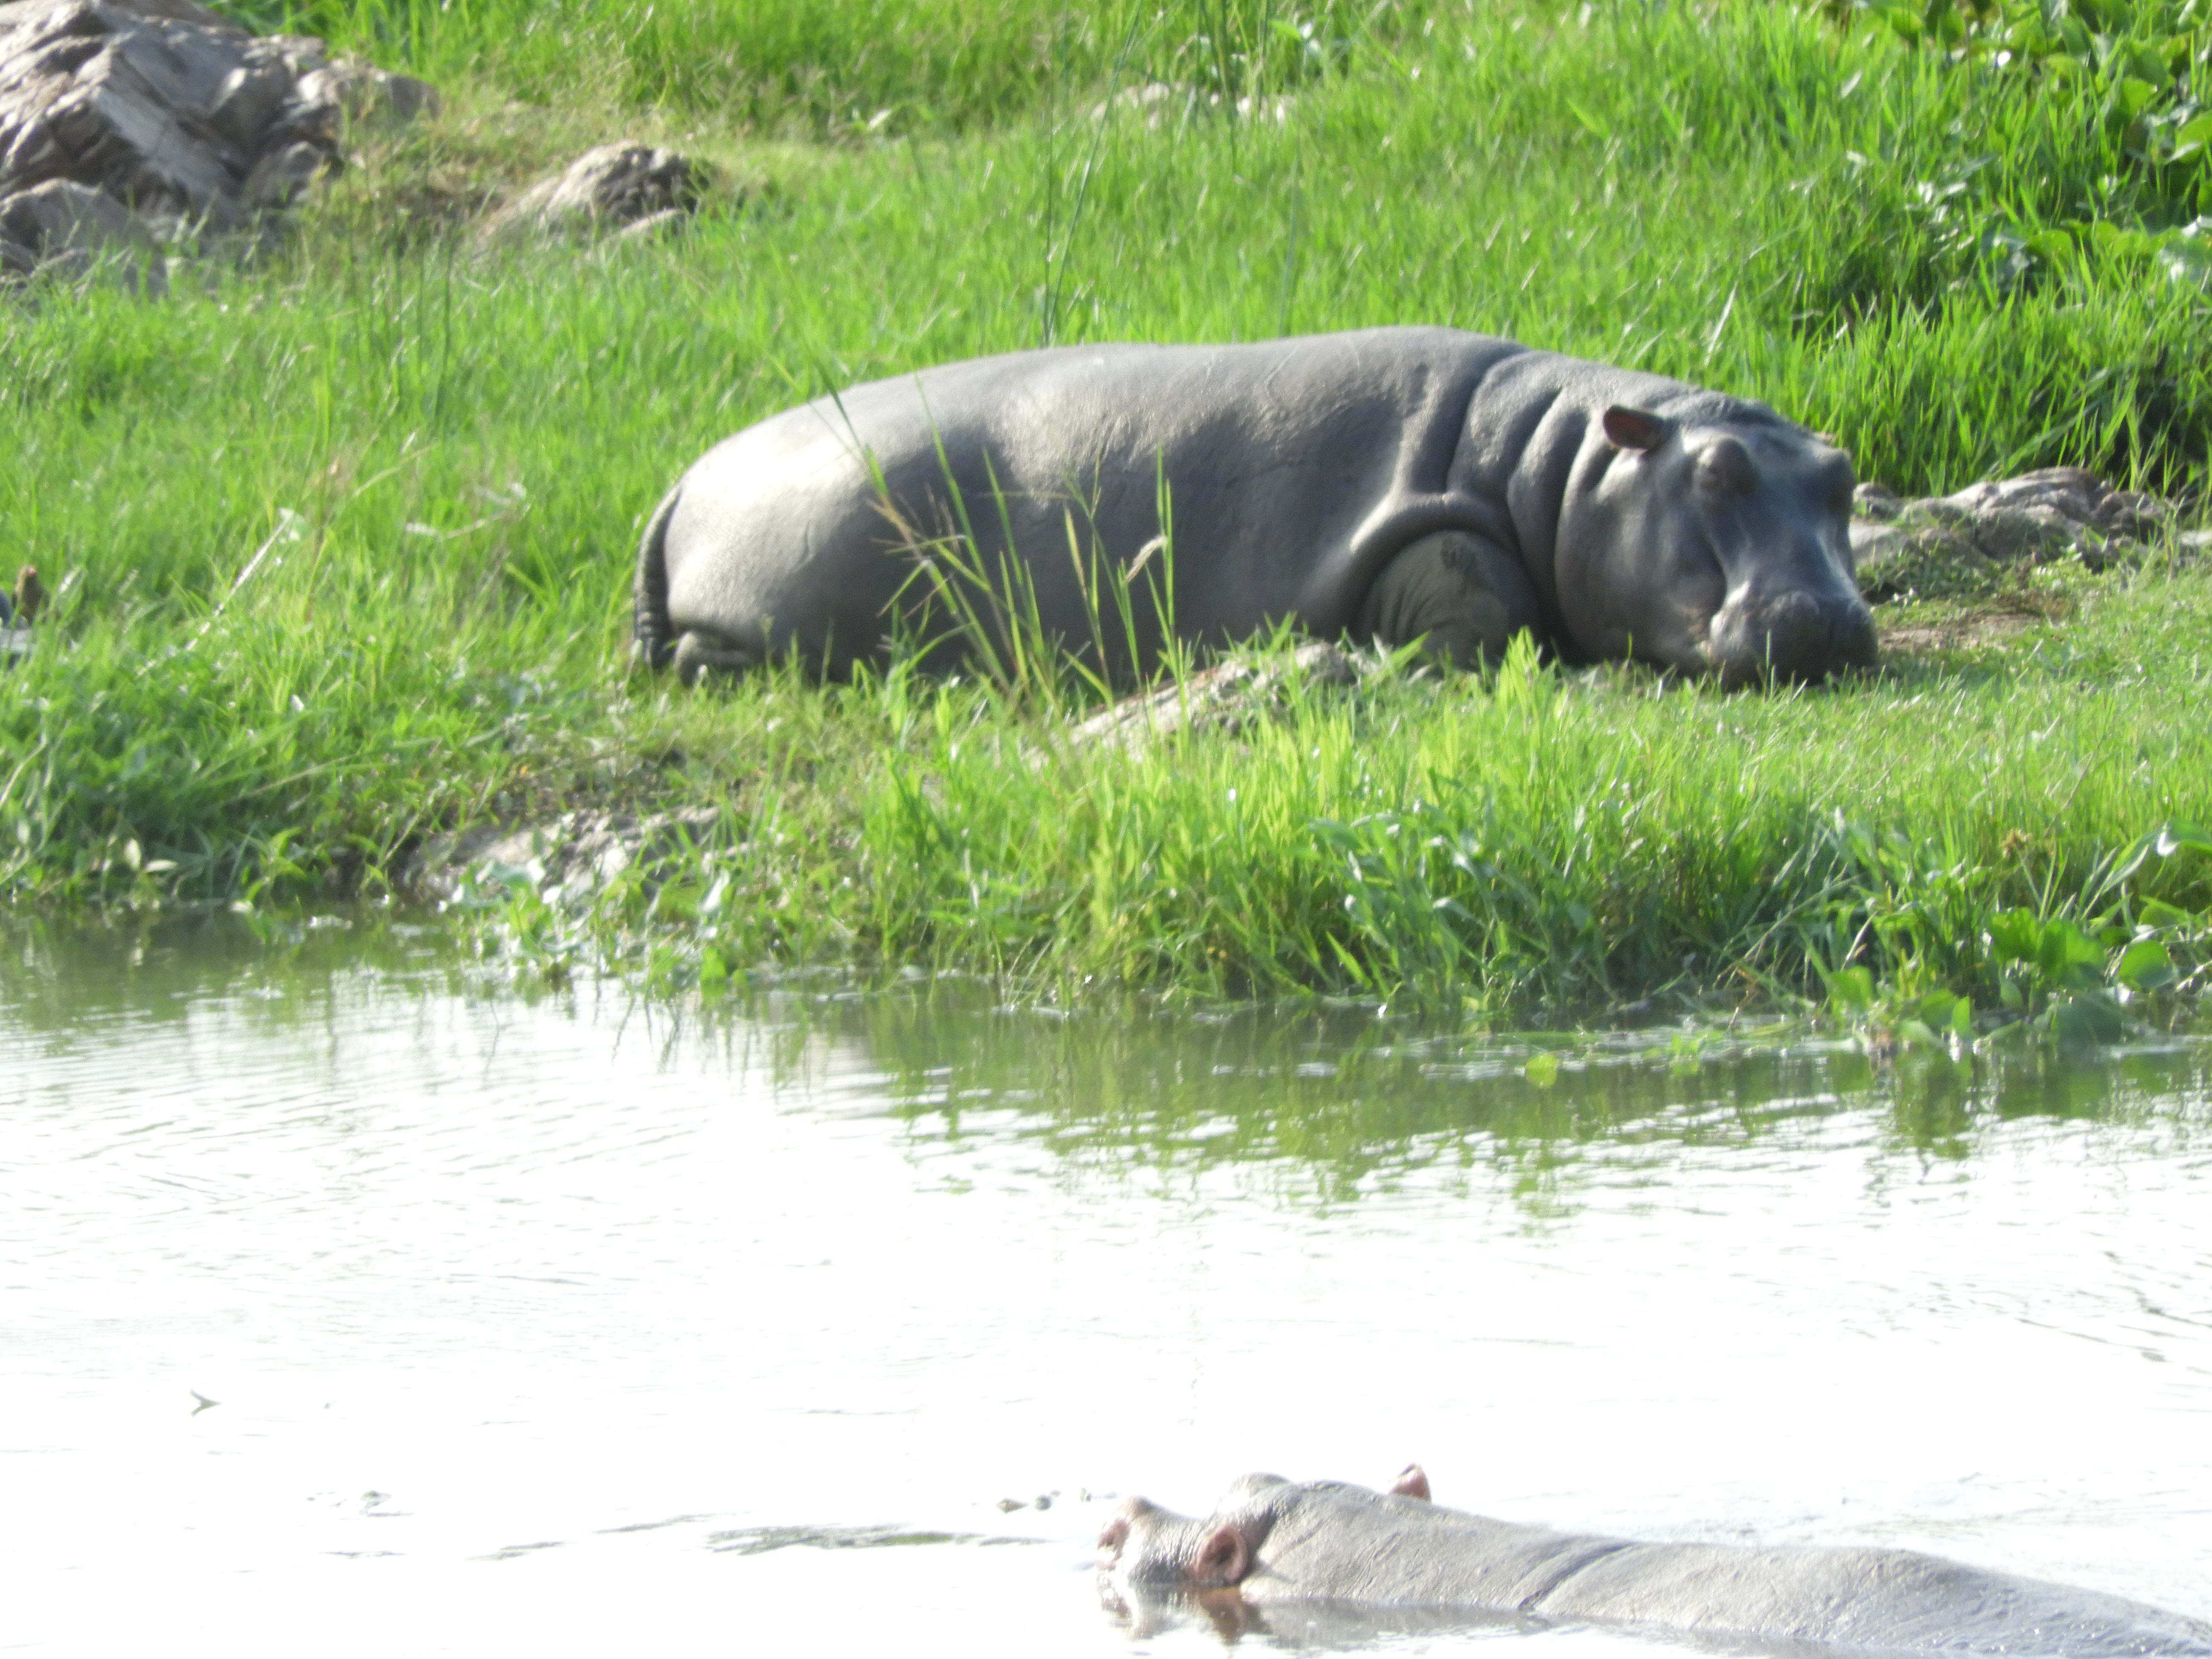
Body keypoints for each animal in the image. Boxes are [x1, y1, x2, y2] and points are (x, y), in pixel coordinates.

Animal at [631, 327, 1876, 688]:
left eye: (1841, 473)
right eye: (1714, 474)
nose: (1827, 615)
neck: (1562, 462)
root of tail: (683, 477)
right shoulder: (1438, 529)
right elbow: (1479, 601)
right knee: (700, 656)